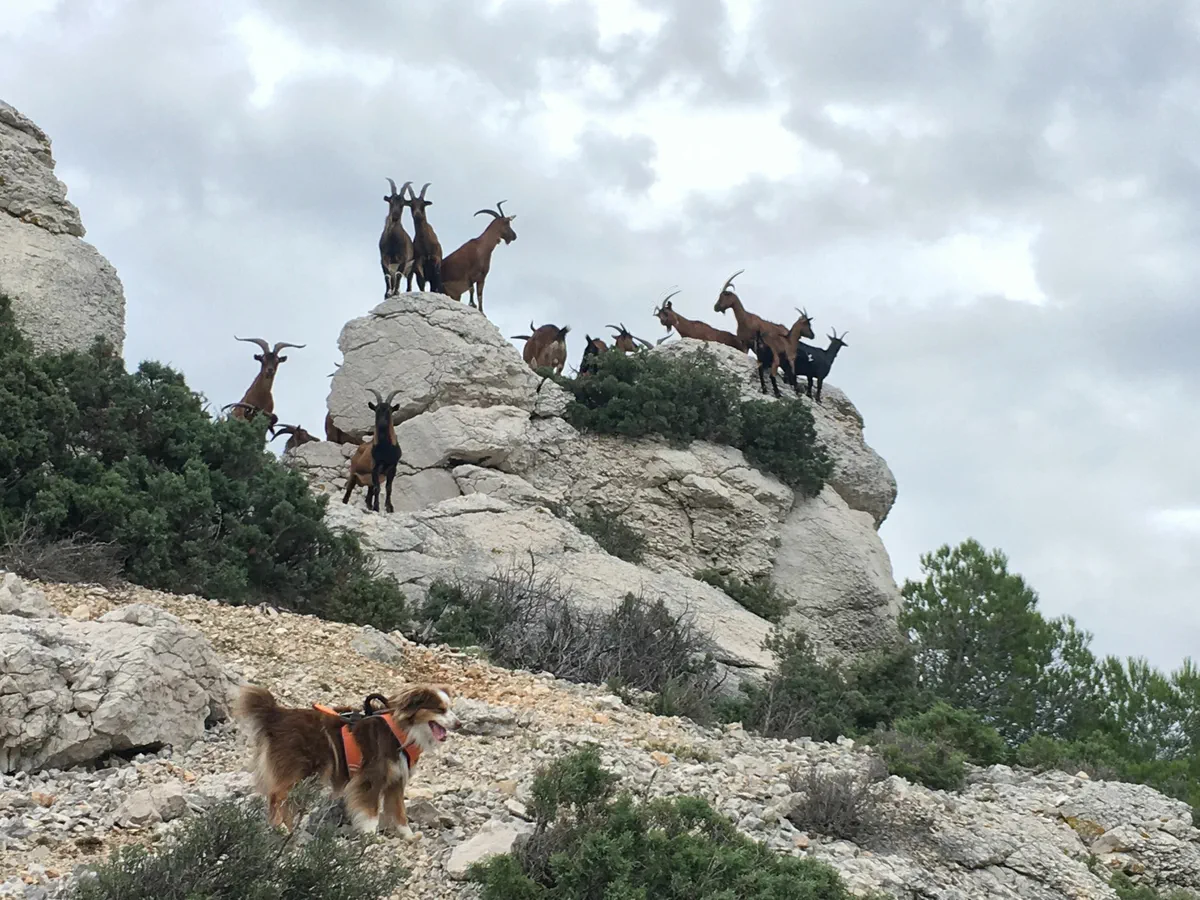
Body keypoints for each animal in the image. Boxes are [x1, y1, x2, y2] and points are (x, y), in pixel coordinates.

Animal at [234, 682, 460, 836]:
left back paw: (290, 830)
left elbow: (399, 811)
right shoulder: (371, 778)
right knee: (276, 797)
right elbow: (371, 811)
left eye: (451, 708)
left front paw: (409, 836)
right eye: (440, 709)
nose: (459, 724)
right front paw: (371, 836)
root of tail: (275, 714)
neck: (401, 731)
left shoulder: (396, 780)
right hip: (296, 771)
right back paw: (280, 827)